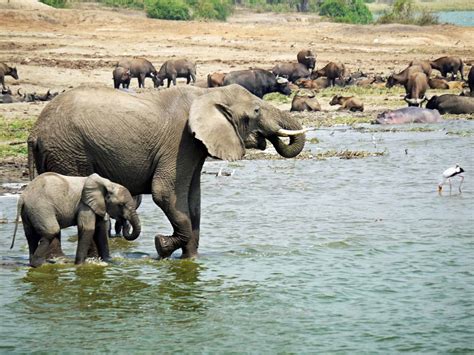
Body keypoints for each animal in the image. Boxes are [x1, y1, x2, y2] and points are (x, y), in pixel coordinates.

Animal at [11, 172, 141, 268]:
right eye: (121, 205)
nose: (125, 223)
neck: (107, 183)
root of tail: (23, 196)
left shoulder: (97, 205)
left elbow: (100, 230)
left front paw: (109, 261)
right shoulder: (85, 205)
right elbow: (88, 229)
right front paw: (80, 265)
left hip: (29, 211)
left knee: (31, 236)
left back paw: (34, 263)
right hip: (40, 208)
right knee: (52, 231)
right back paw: (39, 264)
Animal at [27, 85, 306, 260]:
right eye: (256, 111)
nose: (268, 137)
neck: (206, 94)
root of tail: (34, 131)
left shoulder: (194, 146)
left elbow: (193, 201)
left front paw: (191, 261)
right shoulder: (180, 142)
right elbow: (165, 193)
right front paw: (161, 247)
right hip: (70, 152)